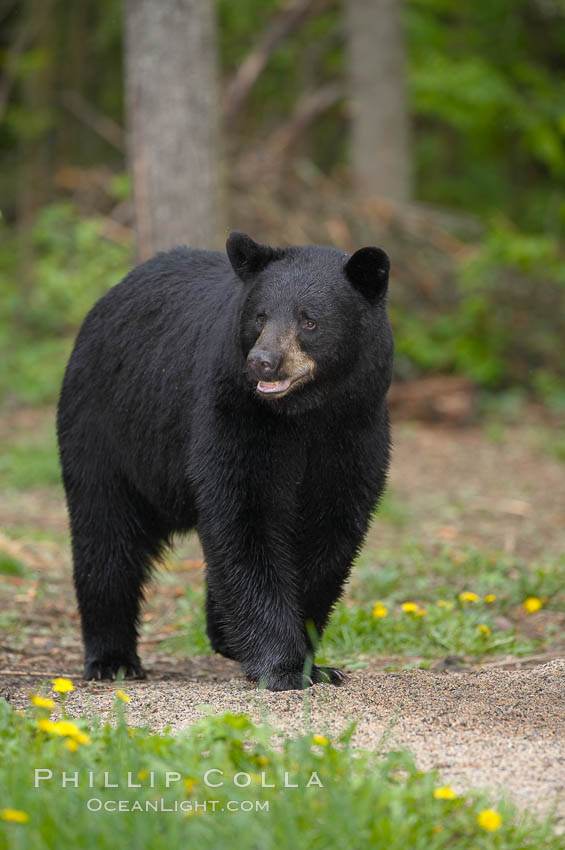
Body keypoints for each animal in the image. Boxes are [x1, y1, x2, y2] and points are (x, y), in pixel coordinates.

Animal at [56, 230, 392, 688]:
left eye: (309, 320)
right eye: (260, 317)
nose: (263, 362)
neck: (305, 415)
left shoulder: (357, 429)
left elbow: (328, 531)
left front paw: (313, 662)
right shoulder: (234, 411)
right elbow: (243, 515)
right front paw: (282, 666)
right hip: (105, 427)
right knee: (105, 534)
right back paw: (112, 660)